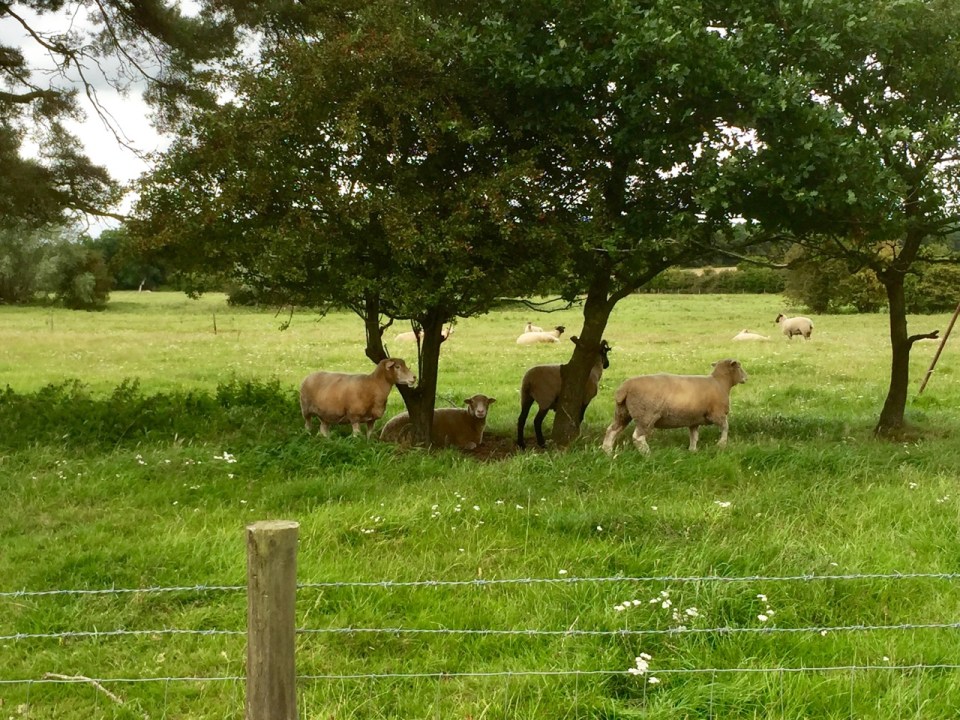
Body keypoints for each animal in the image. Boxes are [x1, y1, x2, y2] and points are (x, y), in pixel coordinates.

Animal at [601, 358, 748, 455]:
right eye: (739, 367)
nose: (746, 378)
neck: (720, 382)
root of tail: (624, 388)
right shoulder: (716, 414)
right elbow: (726, 426)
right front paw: (721, 444)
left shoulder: (694, 419)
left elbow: (694, 435)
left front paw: (693, 450)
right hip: (646, 415)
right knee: (638, 437)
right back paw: (647, 454)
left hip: (622, 412)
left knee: (612, 430)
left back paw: (608, 452)